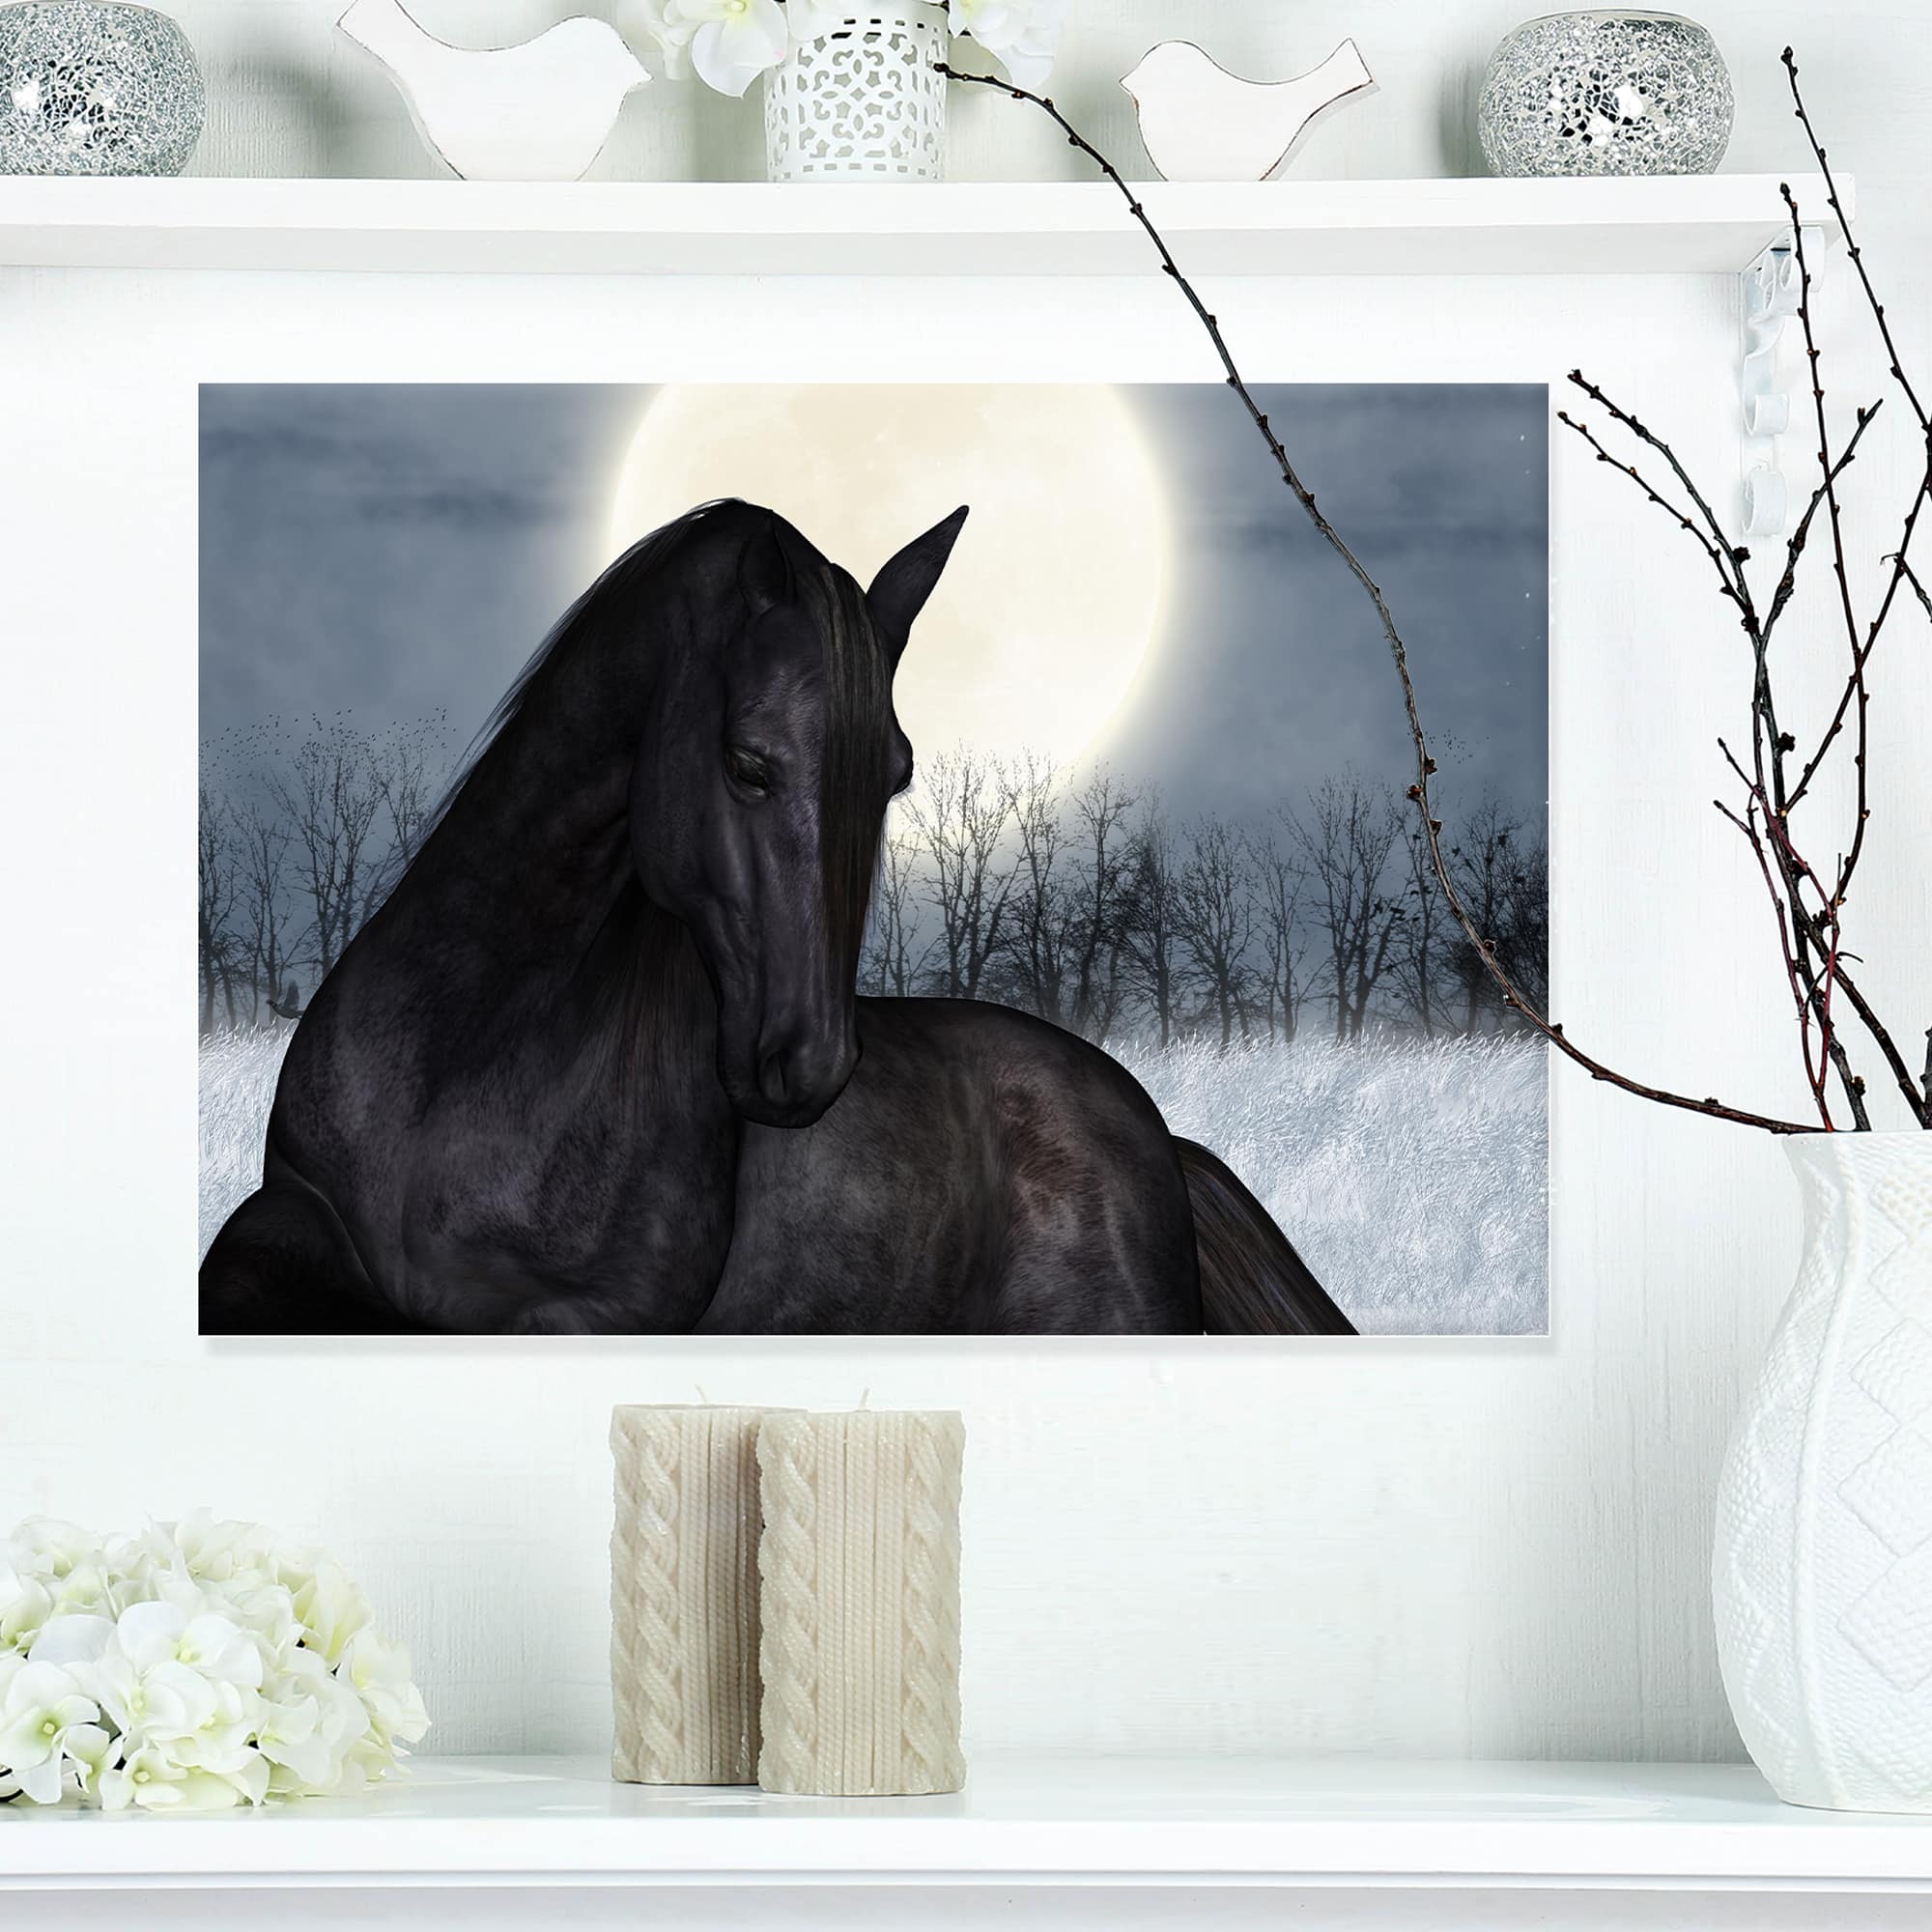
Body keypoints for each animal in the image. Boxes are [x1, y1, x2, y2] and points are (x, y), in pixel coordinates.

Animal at [200, 500, 1356, 1337]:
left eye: (893, 775)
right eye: (747, 763)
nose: (807, 1064)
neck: (466, 1061)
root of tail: (1159, 1135)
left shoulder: (585, 1316)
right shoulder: (283, 1220)